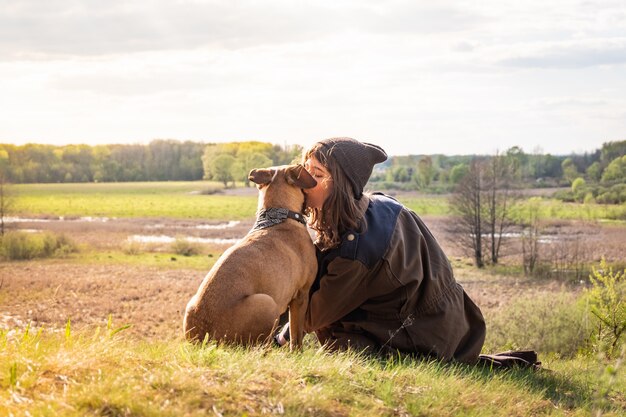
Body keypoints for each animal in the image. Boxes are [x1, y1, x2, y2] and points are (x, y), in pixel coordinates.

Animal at [182, 162, 316, 348]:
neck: (279, 216)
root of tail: (206, 339)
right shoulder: (301, 295)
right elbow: (296, 336)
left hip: (191, 305)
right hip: (267, 303)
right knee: (259, 347)